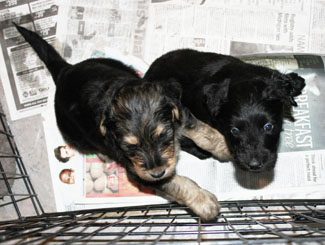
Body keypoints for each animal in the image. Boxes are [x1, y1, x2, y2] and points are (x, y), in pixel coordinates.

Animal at [15, 25, 230, 221]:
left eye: (163, 135)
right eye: (130, 146)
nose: (158, 172)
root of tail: (65, 71)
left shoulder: (179, 113)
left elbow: (202, 130)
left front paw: (223, 146)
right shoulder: (137, 172)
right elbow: (177, 183)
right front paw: (204, 202)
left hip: (113, 63)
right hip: (73, 134)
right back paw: (104, 156)